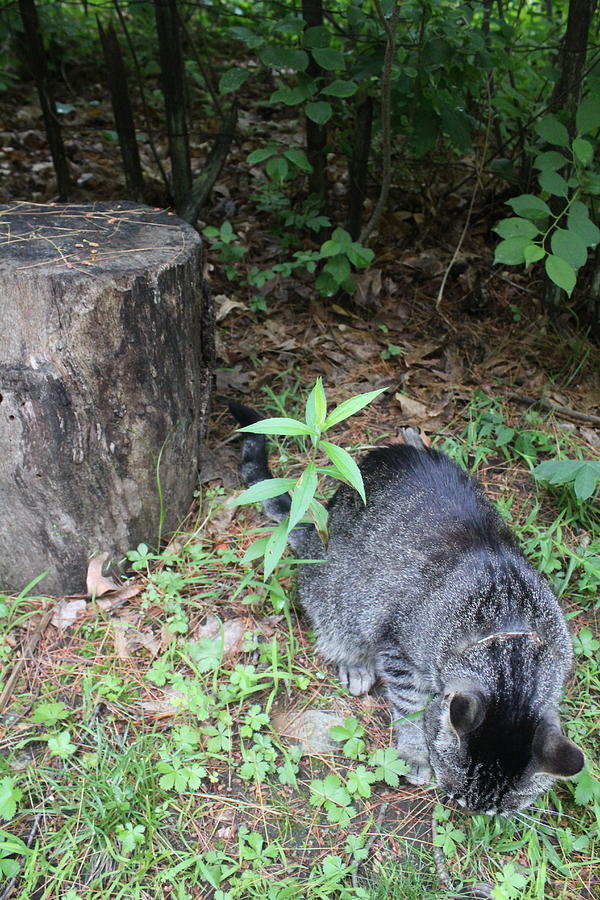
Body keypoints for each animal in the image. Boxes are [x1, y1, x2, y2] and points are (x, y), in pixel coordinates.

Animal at [231, 400, 584, 816]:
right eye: (457, 790)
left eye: (497, 811)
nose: (467, 809)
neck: (512, 650)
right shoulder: (396, 649)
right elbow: (409, 705)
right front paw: (415, 752)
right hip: (340, 596)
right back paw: (354, 663)